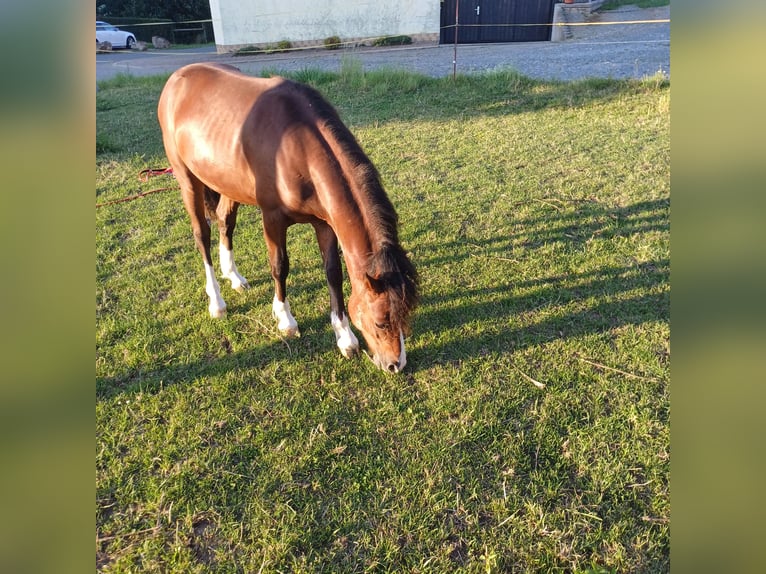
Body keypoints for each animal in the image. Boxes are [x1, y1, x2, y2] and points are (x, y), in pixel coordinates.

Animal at [158, 64, 420, 374]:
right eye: (380, 322)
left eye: (406, 313)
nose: (396, 365)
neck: (297, 147)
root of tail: (177, 78)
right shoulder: (273, 219)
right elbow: (279, 267)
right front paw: (285, 318)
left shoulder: (324, 223)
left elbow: (333, 273)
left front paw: (345, 337)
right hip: (187, 180)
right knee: (202, 235)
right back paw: (217, 302)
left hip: (228, 183)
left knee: (225, 222)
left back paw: (233, 275)